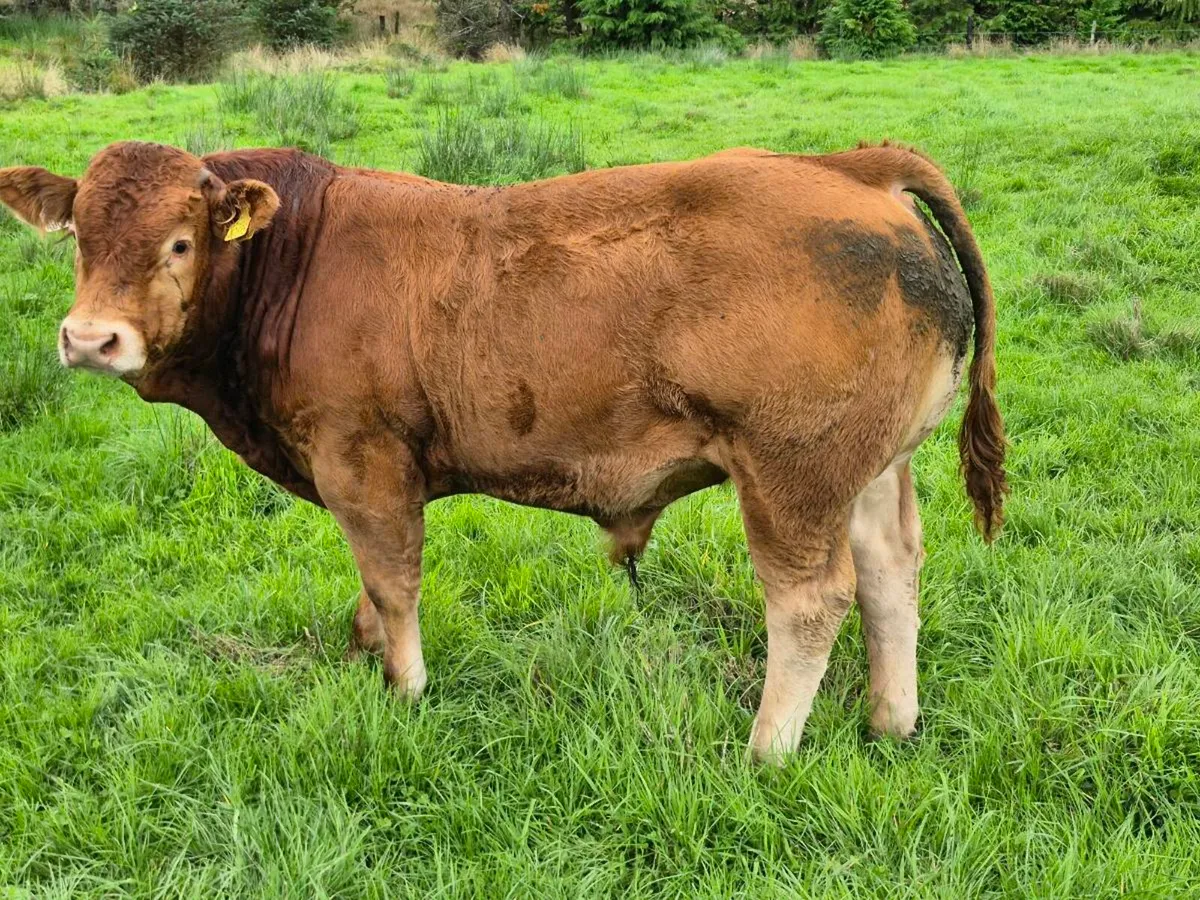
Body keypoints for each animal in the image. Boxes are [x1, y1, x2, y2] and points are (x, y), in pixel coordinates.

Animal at [0, 140, 1005, 761]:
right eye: (80, 236)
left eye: (180, 241)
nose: (90, 340)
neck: (297, 255)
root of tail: (851, 168)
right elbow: (368, 589)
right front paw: (363, 655)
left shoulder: (364, 461)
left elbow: (391, 578)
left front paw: (404, 688)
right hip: (868, 470)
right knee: (889, 573)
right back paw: (890, 722)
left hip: (789, 477)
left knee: (811, 600)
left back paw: (766, 751)